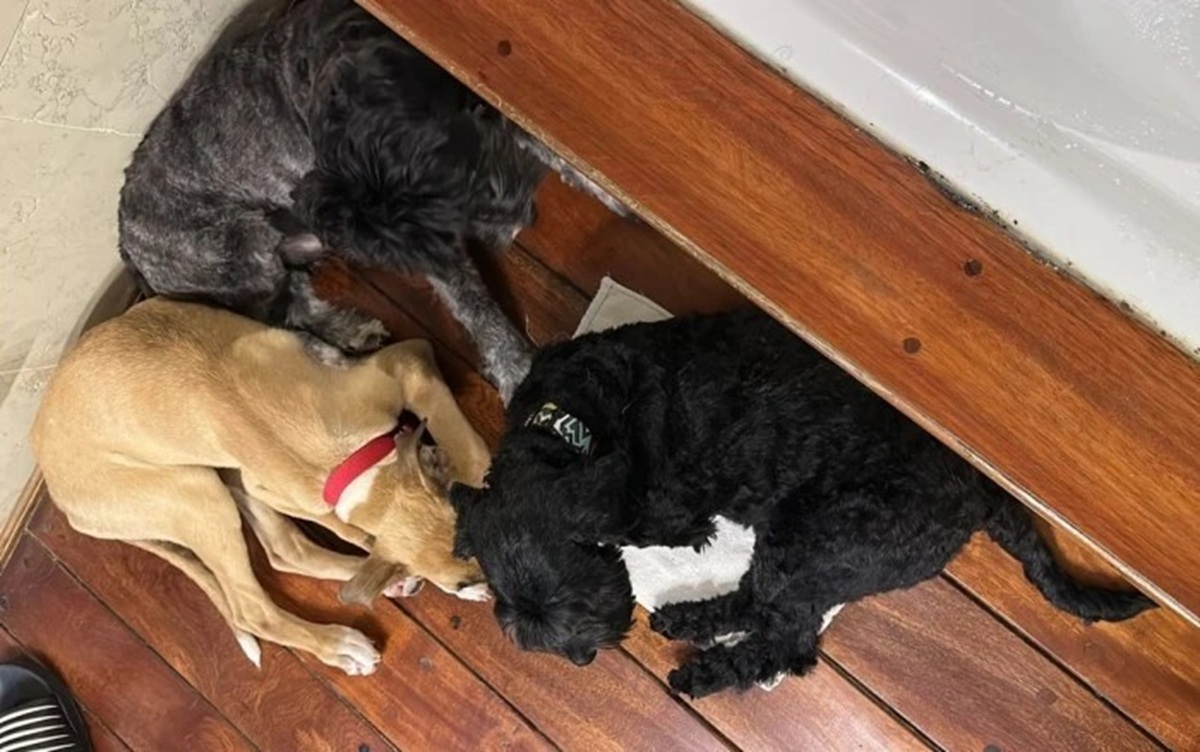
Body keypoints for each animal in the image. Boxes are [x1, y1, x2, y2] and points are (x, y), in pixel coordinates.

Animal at [31, 298, 492, 676]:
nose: (493, 591)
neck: (351, 462)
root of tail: (53, 480)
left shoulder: (270, 484)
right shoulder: (407, 361)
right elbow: (467, 456)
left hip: (223, 473)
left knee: (286, 550)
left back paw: (386, 582)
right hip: (196, 494)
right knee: (252, 608)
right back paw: (341, 645)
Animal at [119, 0, 623, 402]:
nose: (517, 218)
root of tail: (130, 253)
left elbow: (533, 132)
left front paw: (599, 181)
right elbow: (471, 300)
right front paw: (516, 366)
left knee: (297, 303)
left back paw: (351, 331)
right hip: (246, 252)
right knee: (278, 328)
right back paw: (336, 356)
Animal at [450, 308, 1156, 696]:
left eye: (567, 602)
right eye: (517, 613)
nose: (582, 658)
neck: (571, 421)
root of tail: (980, 494)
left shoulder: (666, 510)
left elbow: (661, 528)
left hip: (818, 537)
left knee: (787, 642)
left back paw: (704, 673)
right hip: (801, 545)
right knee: (759, 604)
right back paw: (687, 620)